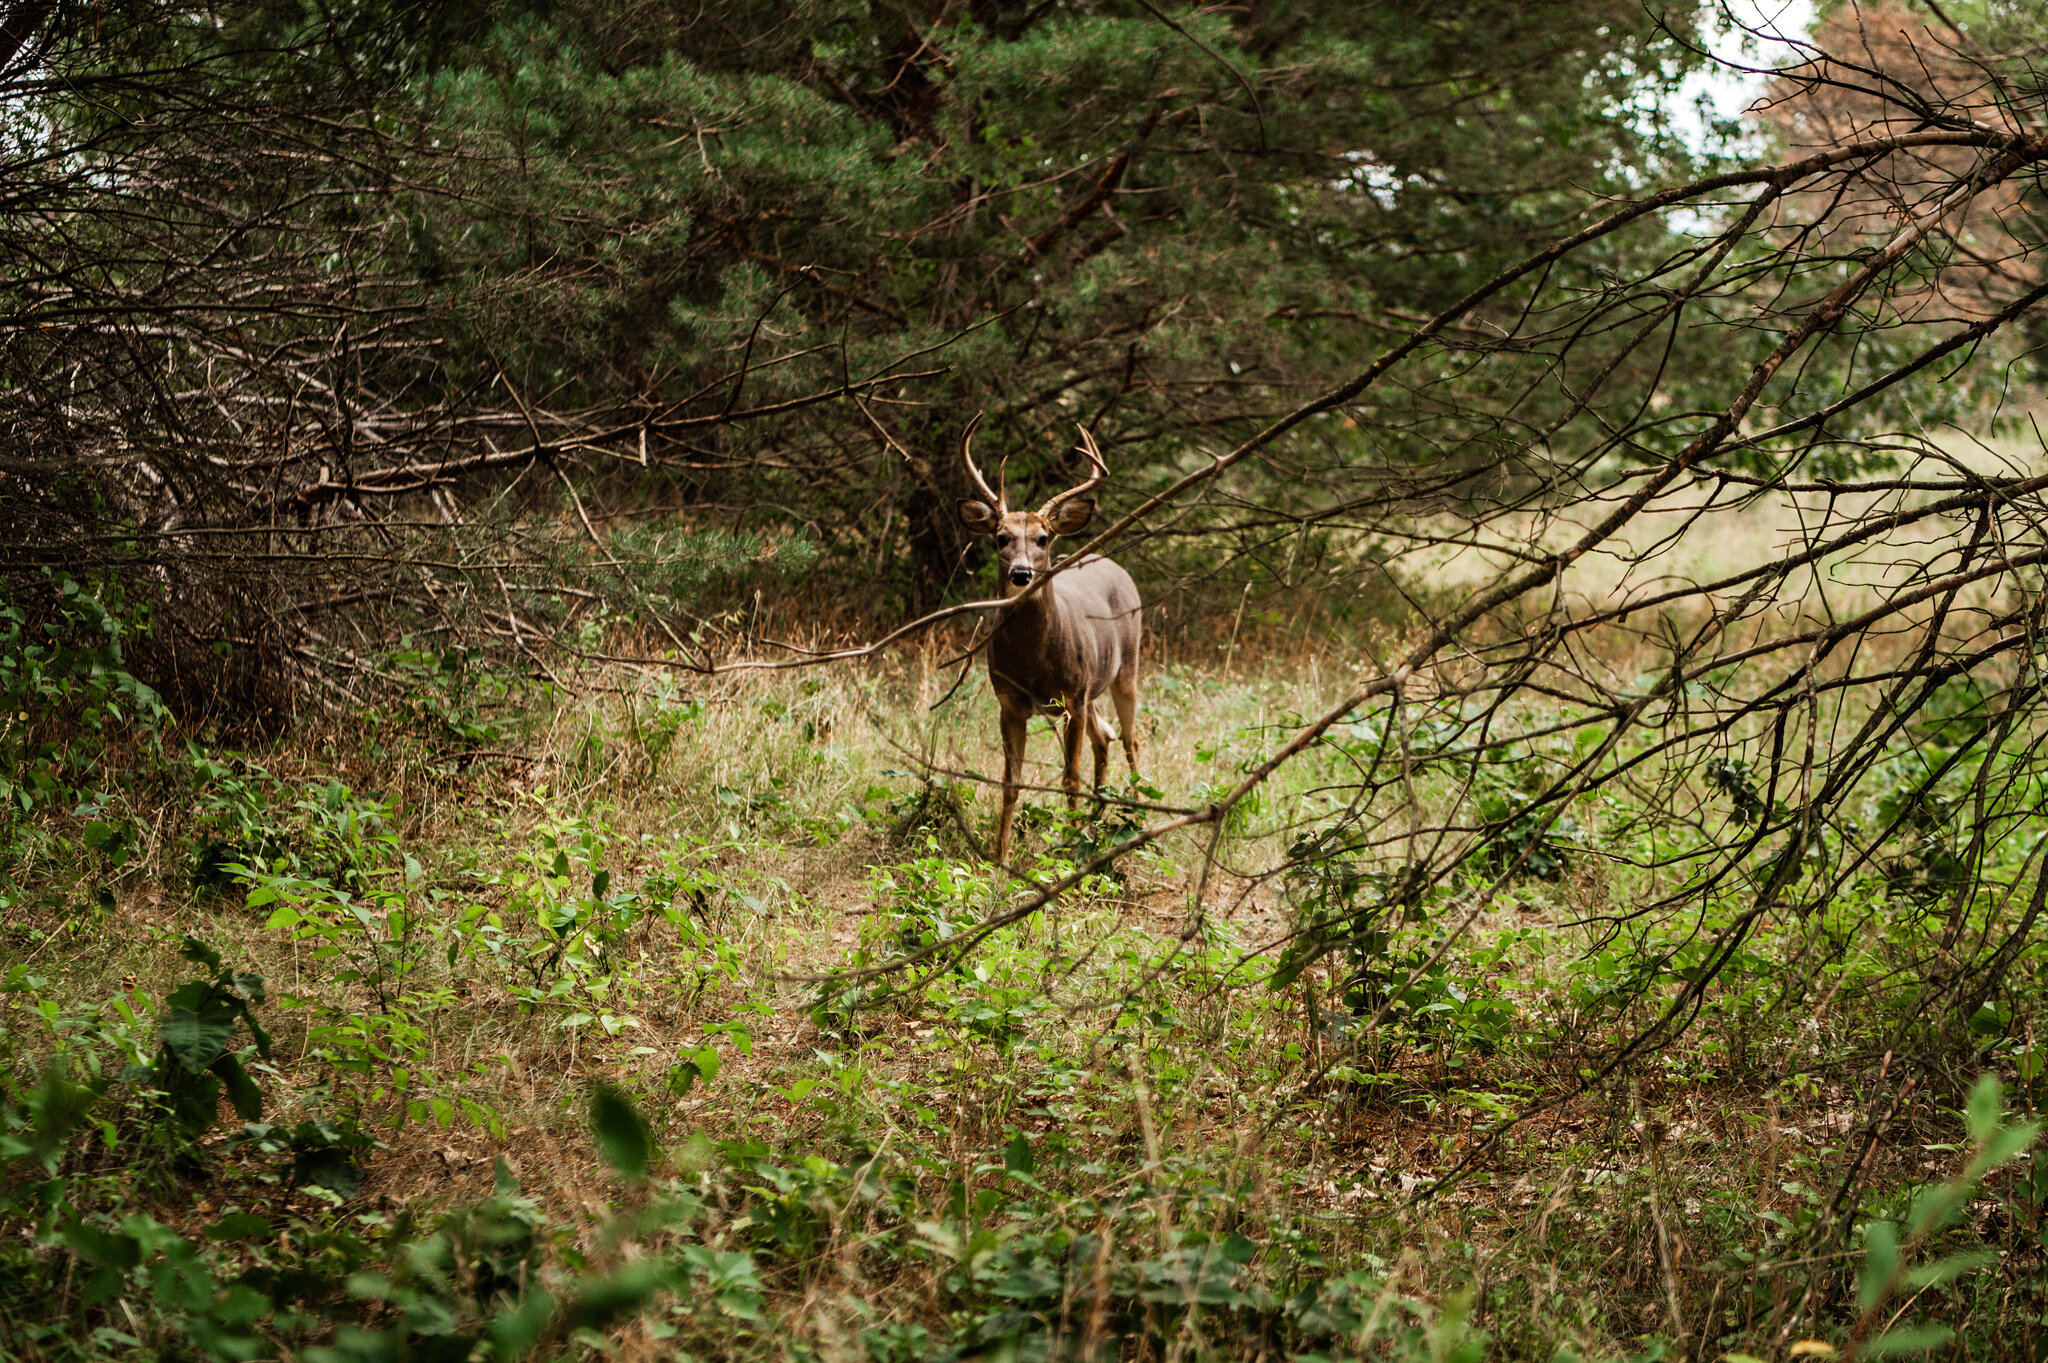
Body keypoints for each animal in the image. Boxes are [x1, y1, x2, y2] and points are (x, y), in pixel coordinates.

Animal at [954, 417, 1146, 859]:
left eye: (1043, 538)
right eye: (1001, 537)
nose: (1022, 573)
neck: (1033, 660)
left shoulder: (1071, 697)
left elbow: (1069, 778)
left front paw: (1070, 848)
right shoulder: (1010, 702)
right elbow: (1010, 782)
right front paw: (999, 855)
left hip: (1125, 668)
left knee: (1130, 739)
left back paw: (1137, 817)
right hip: (1091, 690)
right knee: (1105, 736)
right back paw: (1097, 820)